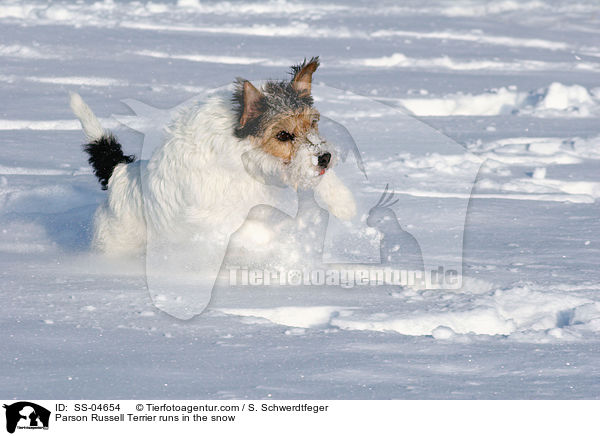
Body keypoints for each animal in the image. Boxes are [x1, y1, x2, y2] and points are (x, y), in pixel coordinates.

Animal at [69, 57, 354, 258]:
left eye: (313, 123)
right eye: (283, 135)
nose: (325, 157)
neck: (245, 156)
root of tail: (119, 173)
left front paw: (342, 202)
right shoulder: (215, 218)